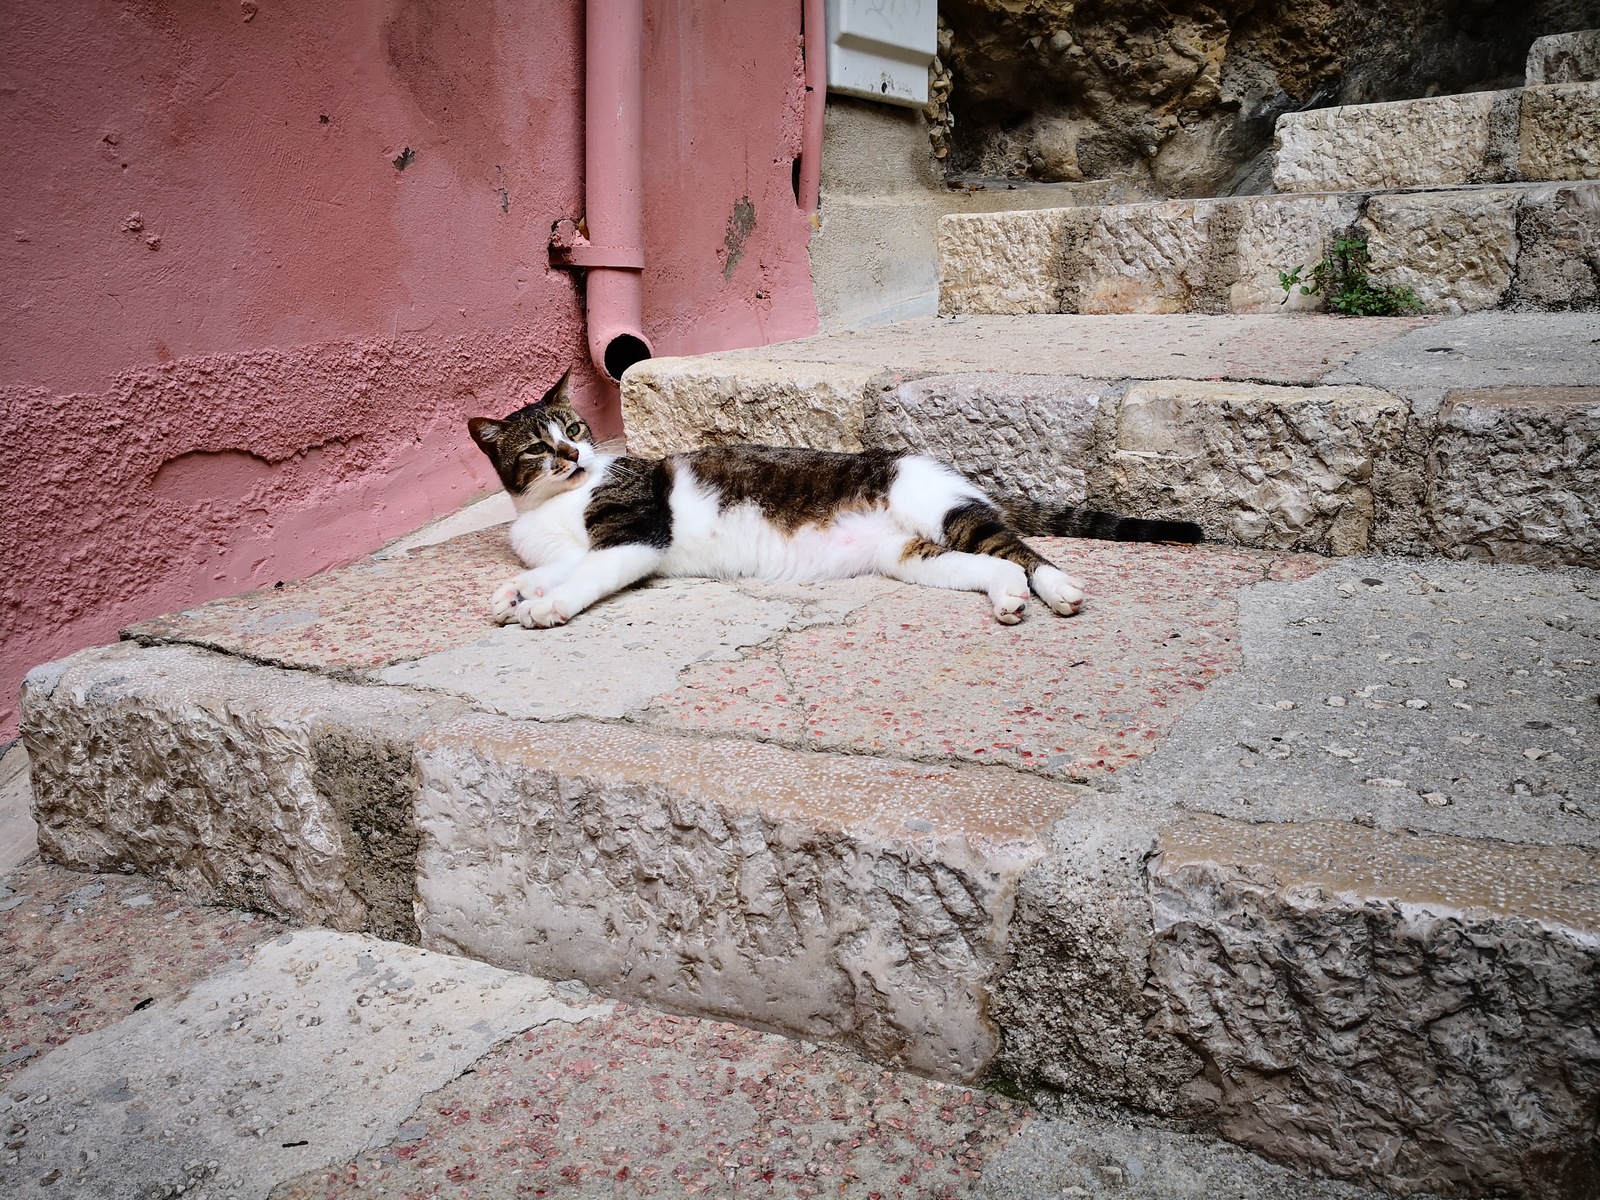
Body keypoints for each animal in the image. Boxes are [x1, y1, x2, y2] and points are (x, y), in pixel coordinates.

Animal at [467, 369, 1203, 630]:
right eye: (536, 447)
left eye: (575, 428)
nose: (572, 456)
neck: (550, 504)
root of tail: (946, 468)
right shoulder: (581, 542)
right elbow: (559, 563)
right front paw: (514, 592)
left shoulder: (635, 532)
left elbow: (586, 573)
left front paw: (546, 606)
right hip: (910, 557)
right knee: (994, 565)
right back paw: (1009, 598)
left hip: (941, 509)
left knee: (1022, 550)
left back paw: (1059, 589)